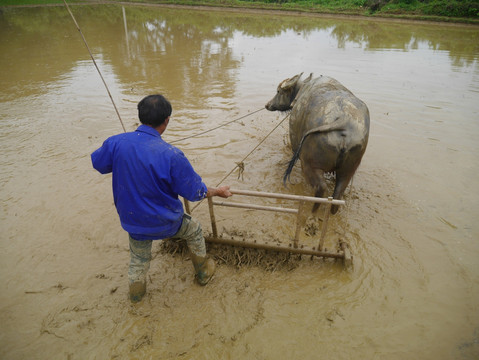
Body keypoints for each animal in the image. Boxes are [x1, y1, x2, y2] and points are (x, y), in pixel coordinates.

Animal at [266, 74, 372, 214]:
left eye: (278, 91)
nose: (267, 105)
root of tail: (343, 120)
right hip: (348, 170)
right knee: (337, 194)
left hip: (311, 164)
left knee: (321, 188)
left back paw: (312, 212)